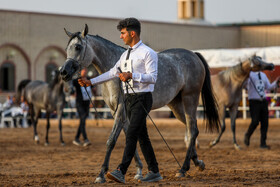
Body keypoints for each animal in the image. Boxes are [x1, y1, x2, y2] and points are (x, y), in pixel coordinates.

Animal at [59, 24, 221, 183]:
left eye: (78, 47)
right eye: (67, 48)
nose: (63, 72)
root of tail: (194, 55)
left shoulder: (120, 110)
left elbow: (112, 140)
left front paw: (101, 174)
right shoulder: (116, 111)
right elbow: (129, 137)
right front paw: (138, 171)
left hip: (190, 99)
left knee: (192, 130)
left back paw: (183, 169)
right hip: (176, 105)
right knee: (192, 128)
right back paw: (197, 163)